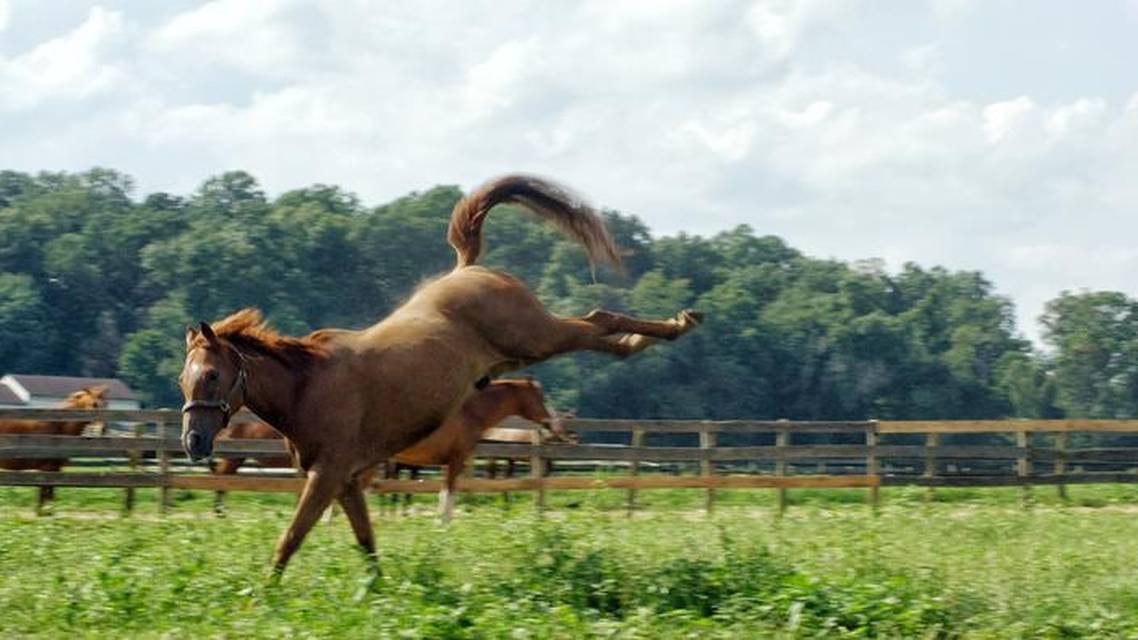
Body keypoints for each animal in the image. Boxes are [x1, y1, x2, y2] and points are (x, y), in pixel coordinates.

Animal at [379, 377, 572, 522]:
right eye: (541, 398)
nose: (554, 425)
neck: (471, 412)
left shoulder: (446, 464)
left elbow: (442, 497)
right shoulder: (456, 461)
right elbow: (448, 497)